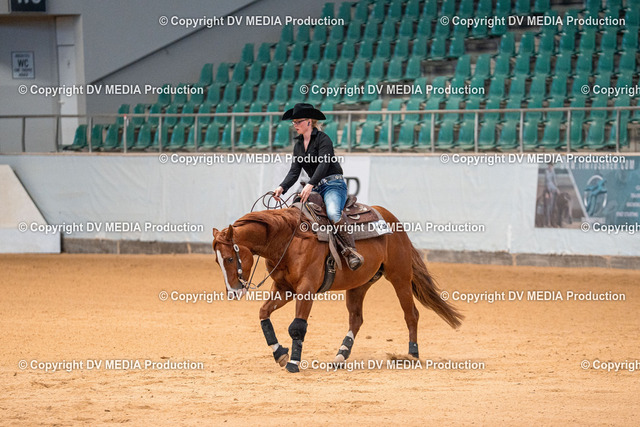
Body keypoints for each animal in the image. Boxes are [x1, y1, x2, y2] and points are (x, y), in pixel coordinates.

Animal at [212, 204, 463, 373]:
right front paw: (280, 354)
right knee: (356, 319)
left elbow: (297, 327)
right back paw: (341, 355)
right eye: (217, 261)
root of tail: (393, 220)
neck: (289, 239)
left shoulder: (306, 289)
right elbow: (263, 313)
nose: (233, 292)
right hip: (359, 285)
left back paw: (411, 355)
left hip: (400, 277)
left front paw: (293, 362)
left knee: (411, 314)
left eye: (230, 259)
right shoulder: (285, 289)